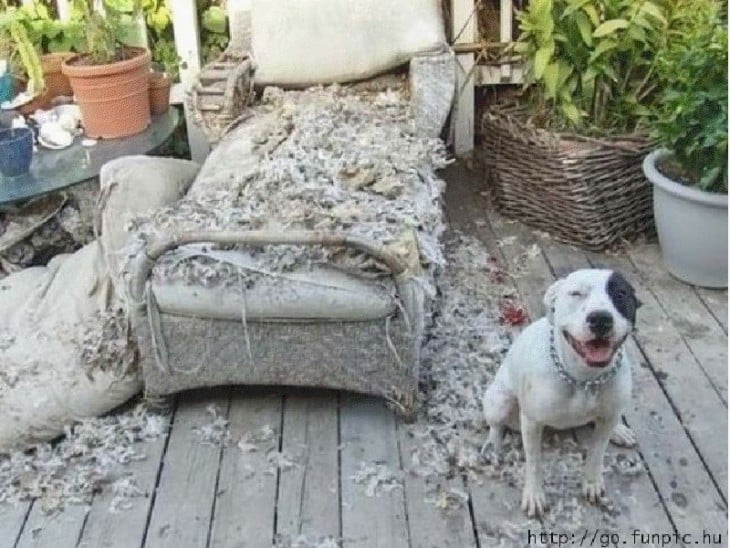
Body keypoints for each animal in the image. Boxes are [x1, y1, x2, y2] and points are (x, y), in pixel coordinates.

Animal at [484, 270, 636, 520]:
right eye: (576, 293)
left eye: (621, 293)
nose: (601, 319)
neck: (584, 379)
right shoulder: (532, 422)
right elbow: (534, 462)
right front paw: (534, 495)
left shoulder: (608, 417)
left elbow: (597, 453)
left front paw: (591, 483)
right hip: (500, 400)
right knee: (496, 425)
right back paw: (493, 445)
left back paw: (620, 431)